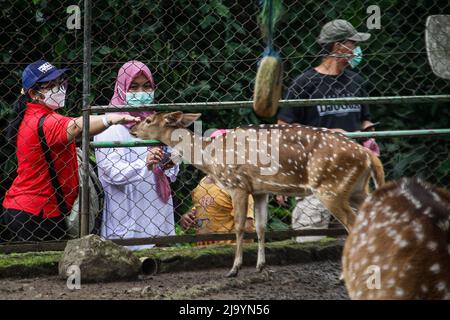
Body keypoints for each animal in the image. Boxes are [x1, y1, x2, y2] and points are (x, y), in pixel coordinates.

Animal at [130, 111, 384, 276]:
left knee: (353, 224)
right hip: (358, 189)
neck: (211, 159)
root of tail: (368, 156)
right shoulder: (261, 190)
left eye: (149, 119)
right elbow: (262, 228)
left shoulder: (238, 184)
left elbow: (241, 227)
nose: (132, 128)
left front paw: (234, 268)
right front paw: (260, 265)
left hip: (331, 188)